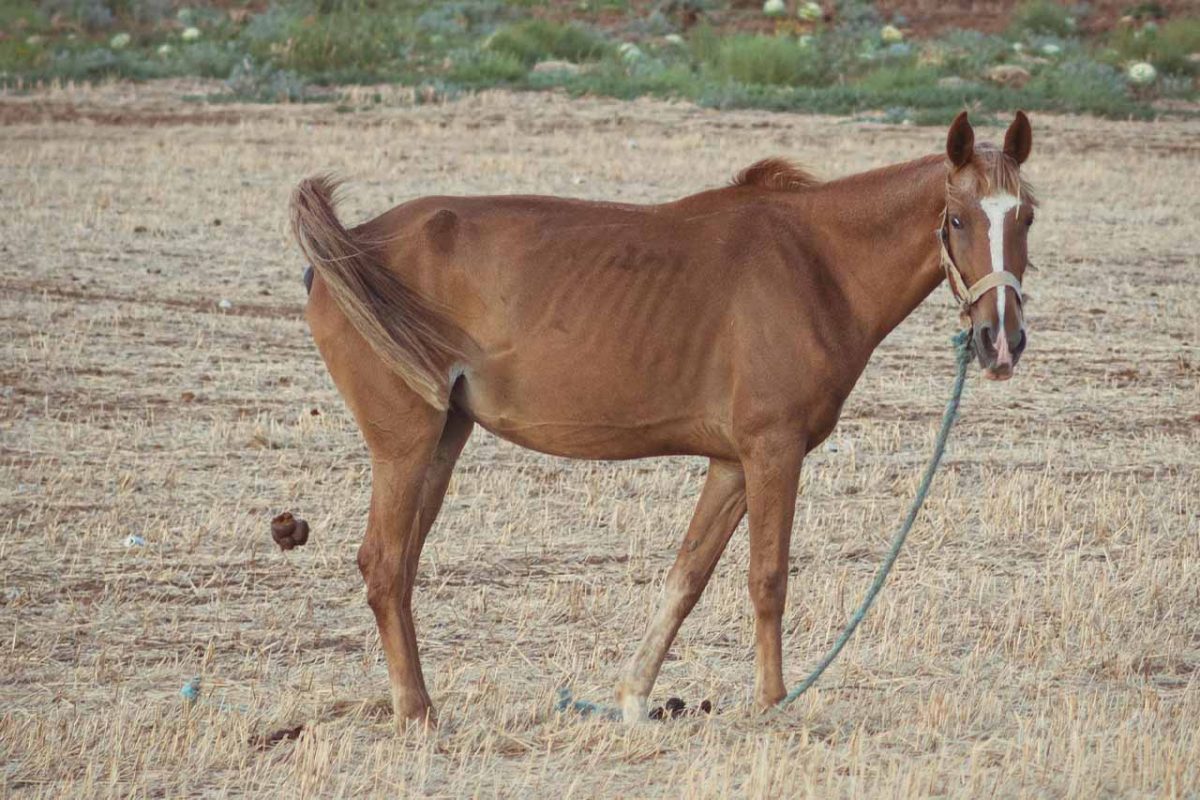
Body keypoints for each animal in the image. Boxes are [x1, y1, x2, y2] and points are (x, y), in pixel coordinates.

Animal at [291, 110, 1036, 726]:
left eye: (1026, 216)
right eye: (958, 218)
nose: (1000, 342)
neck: (816, 262)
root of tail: (351, 245)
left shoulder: (731, 463)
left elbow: (687, 578)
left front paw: (633, 697)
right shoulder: (773, 451)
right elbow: (768, 579)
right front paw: (773, 704)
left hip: (444, 439)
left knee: (402, 567)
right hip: (405, 445)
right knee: (385, 563)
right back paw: (416, 713)